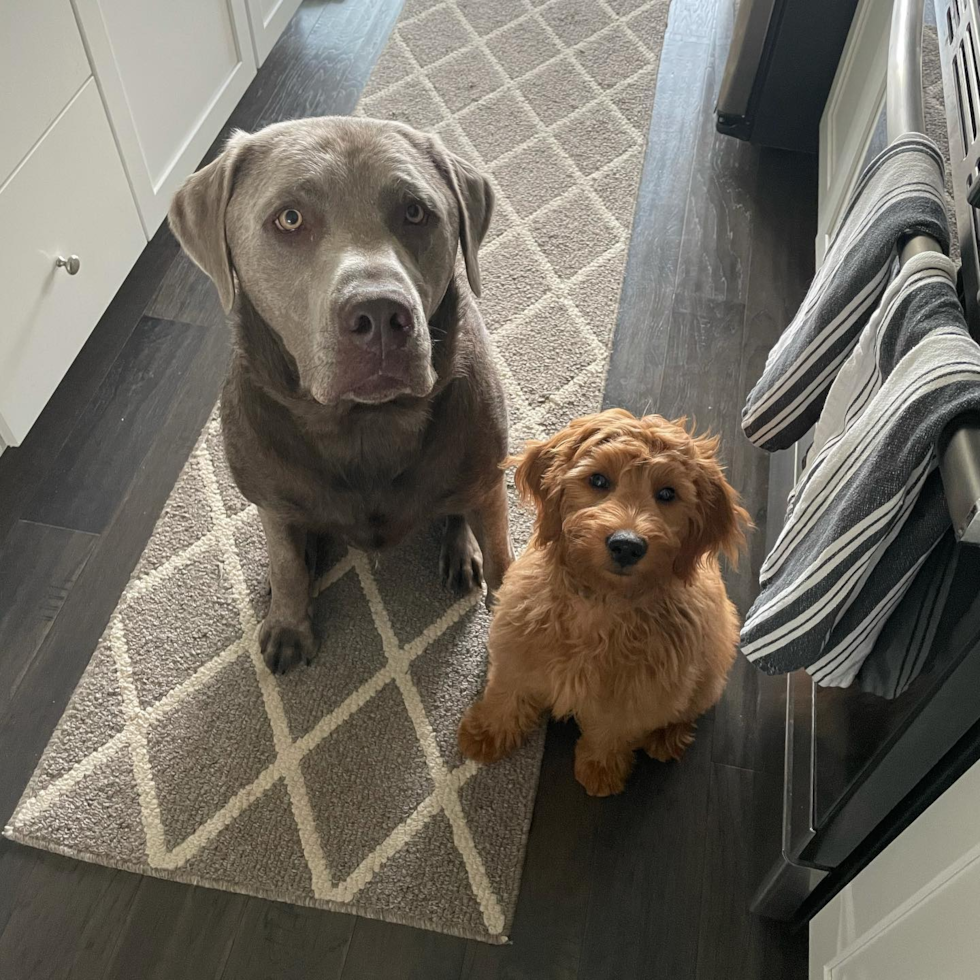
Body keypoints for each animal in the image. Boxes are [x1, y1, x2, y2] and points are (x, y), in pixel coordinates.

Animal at [460, 406, 752, 796]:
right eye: (598, 480)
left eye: (667, 493)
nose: (626, 545)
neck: (600, 604)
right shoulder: (516, 651)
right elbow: (506, 694)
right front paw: (486, 734)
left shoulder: (636, 696)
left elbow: (611, 732)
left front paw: (600, 769)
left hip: (710, 671)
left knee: (686, 709)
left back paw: (666, 737)